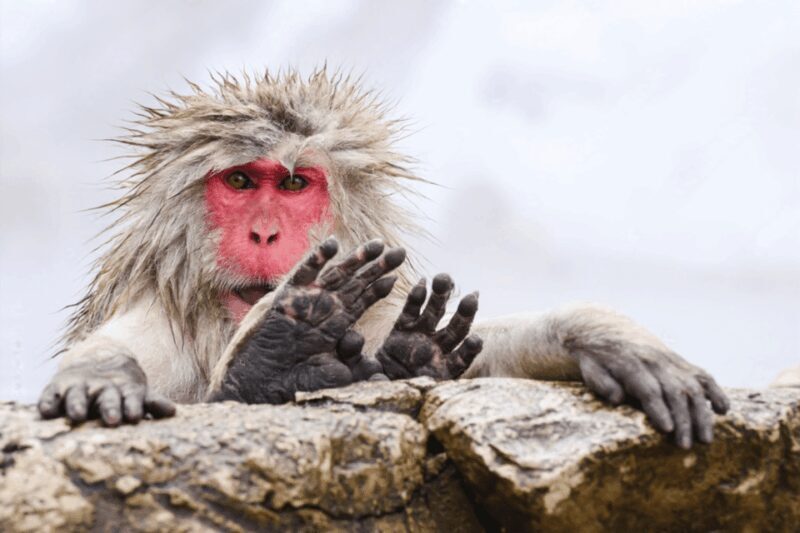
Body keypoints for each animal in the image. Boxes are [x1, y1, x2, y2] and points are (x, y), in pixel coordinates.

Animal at [37, 69, 729, 449]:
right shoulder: (161, 319)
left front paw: (600, 336)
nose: (263, 232)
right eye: (239, 182)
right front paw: (102, 376)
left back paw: (406, 354)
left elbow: (489, 357)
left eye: (293, 185)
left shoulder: (369, 304)